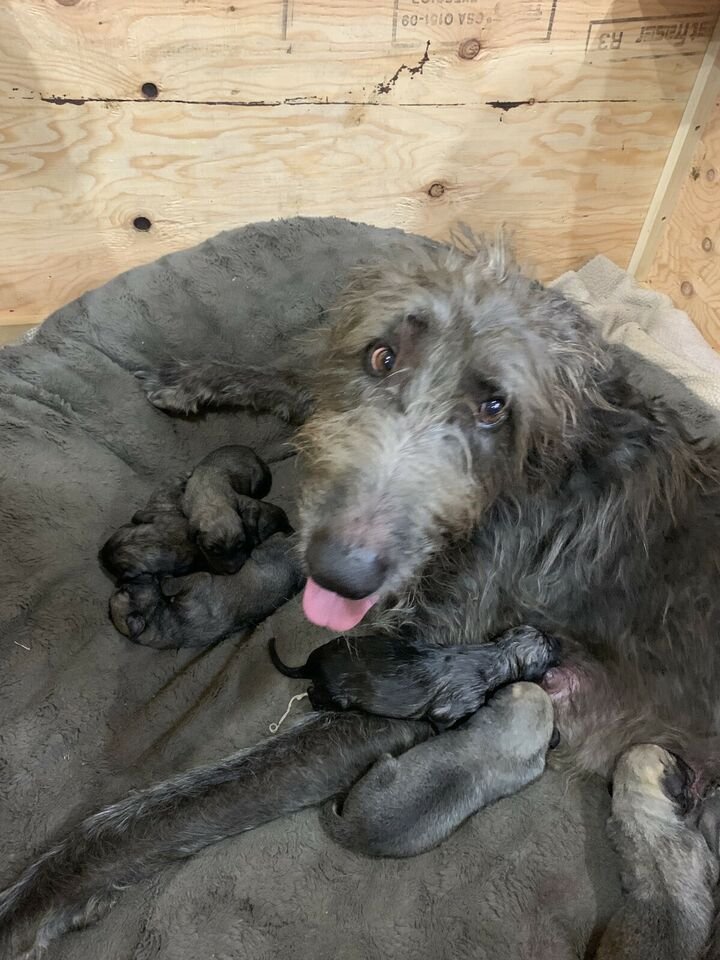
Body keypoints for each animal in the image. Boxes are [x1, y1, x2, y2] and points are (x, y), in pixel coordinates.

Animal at [109, 528, 304, 648]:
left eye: (124, 591)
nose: (122, 581)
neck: (158, 618)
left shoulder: (194, 581)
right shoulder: (197, 580)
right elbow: (170, 584)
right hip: (267, 547)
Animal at [268, 624, 560, 728]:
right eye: (548, 647)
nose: (558, 640)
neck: (493, 656)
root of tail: (311, 662)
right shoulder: (450, 709)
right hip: (336, 695)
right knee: (311, 693)